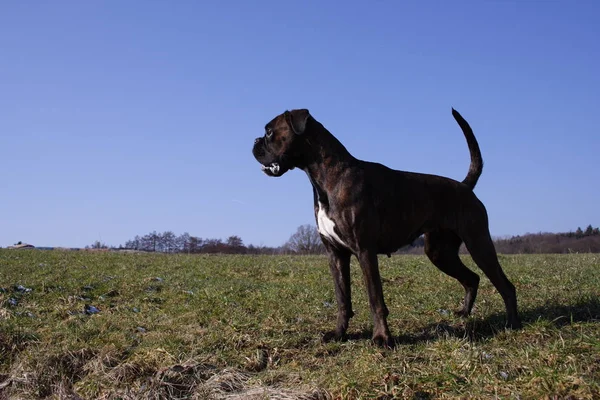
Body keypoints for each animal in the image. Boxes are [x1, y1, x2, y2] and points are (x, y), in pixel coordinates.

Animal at [251, 108, 524, 346]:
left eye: (269, 132)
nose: (254, 141)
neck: (328, 177)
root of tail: (465, 186)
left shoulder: (365, 252)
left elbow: (375, 299)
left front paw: (382, 338)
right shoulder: (336, 255)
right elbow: (342, 299)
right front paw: (339, 334)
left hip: (479, 244)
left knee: (505, 285)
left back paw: (512, 324)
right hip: (440, 253)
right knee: (472, 278)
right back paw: (464, 314)